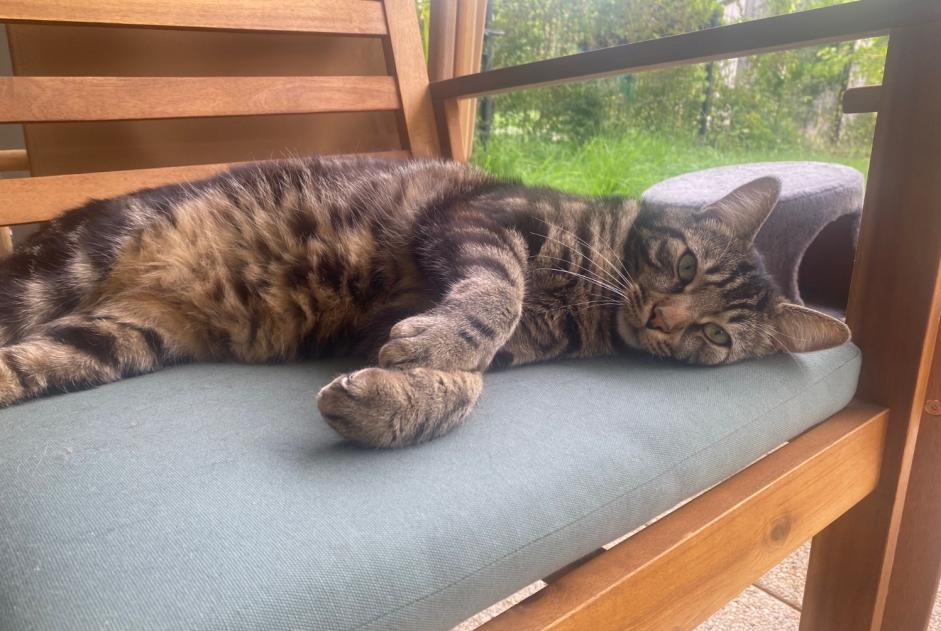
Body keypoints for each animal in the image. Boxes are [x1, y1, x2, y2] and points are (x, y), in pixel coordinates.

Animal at [0, 156, 848, 446]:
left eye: (716, 337)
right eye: (682, 263)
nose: (665, 320)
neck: (587, 296)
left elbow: (465, 387)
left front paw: (390, 404)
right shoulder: (483, 219)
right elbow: (493, 296)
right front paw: (437, 348)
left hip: (115, 336)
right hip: (63, 269)